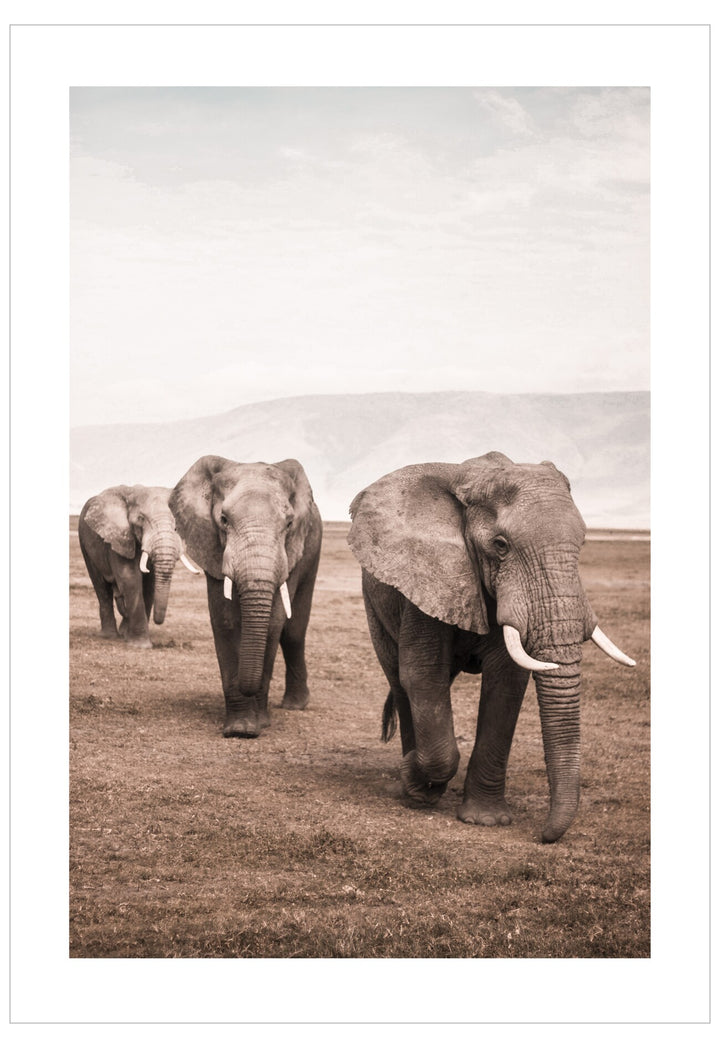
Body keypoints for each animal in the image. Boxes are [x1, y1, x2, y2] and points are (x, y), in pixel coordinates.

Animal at [78, 484, 198, 648]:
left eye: (177, 523)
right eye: (141, 519)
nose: (158, 621)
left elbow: (149, 584)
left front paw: (131, 638)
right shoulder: (119, 537)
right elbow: (130, 578)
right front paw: (141, 646)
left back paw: (123, 633)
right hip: (84, 541)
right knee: (101, 586)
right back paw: (109, 635)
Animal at [169, 456, 322, 739]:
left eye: (289, 524)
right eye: (223, 519)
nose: (247, 687)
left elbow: (273, 624)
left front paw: (259, 725)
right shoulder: (212, 546)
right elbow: (225, 621)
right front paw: (240, 729)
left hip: (313, 547)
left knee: (293, 632)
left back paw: (295, 705)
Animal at [348, 452, 636, 843]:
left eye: (583, 543)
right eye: (501, 545)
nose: (544, 835)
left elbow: (507, 682)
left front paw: (486, 820)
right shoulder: (429, 575)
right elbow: (422, 675)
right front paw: (415, 780)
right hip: (374, 603)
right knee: (400, 679)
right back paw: (414, 787)